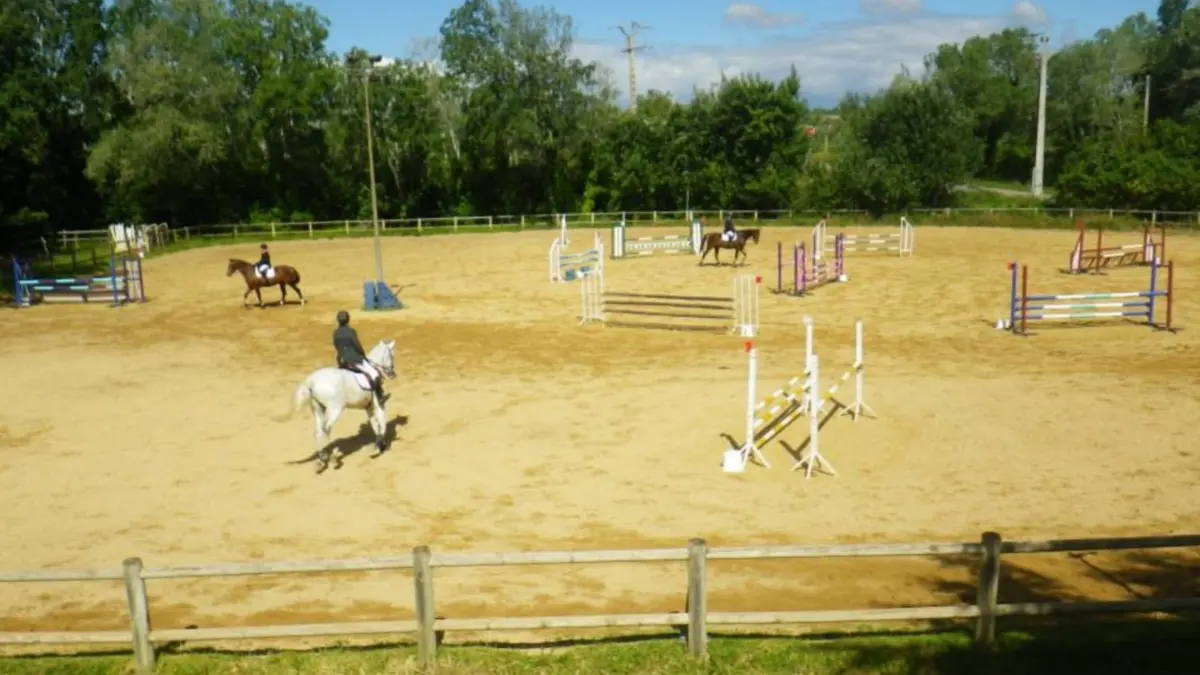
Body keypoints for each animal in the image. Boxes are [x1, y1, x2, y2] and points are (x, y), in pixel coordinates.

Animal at [274, 338, 396, 470]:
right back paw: (335, 455)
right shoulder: (378, 404)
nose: (393, 374)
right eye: (392, 356)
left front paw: (379, 445)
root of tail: (311, 380)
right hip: (335, 408)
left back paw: (321, 460)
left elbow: (374, 424)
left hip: (318, 408)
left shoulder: (368, 407)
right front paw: (379, 446)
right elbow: (381, 422)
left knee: (318, 432)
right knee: (327, 427)